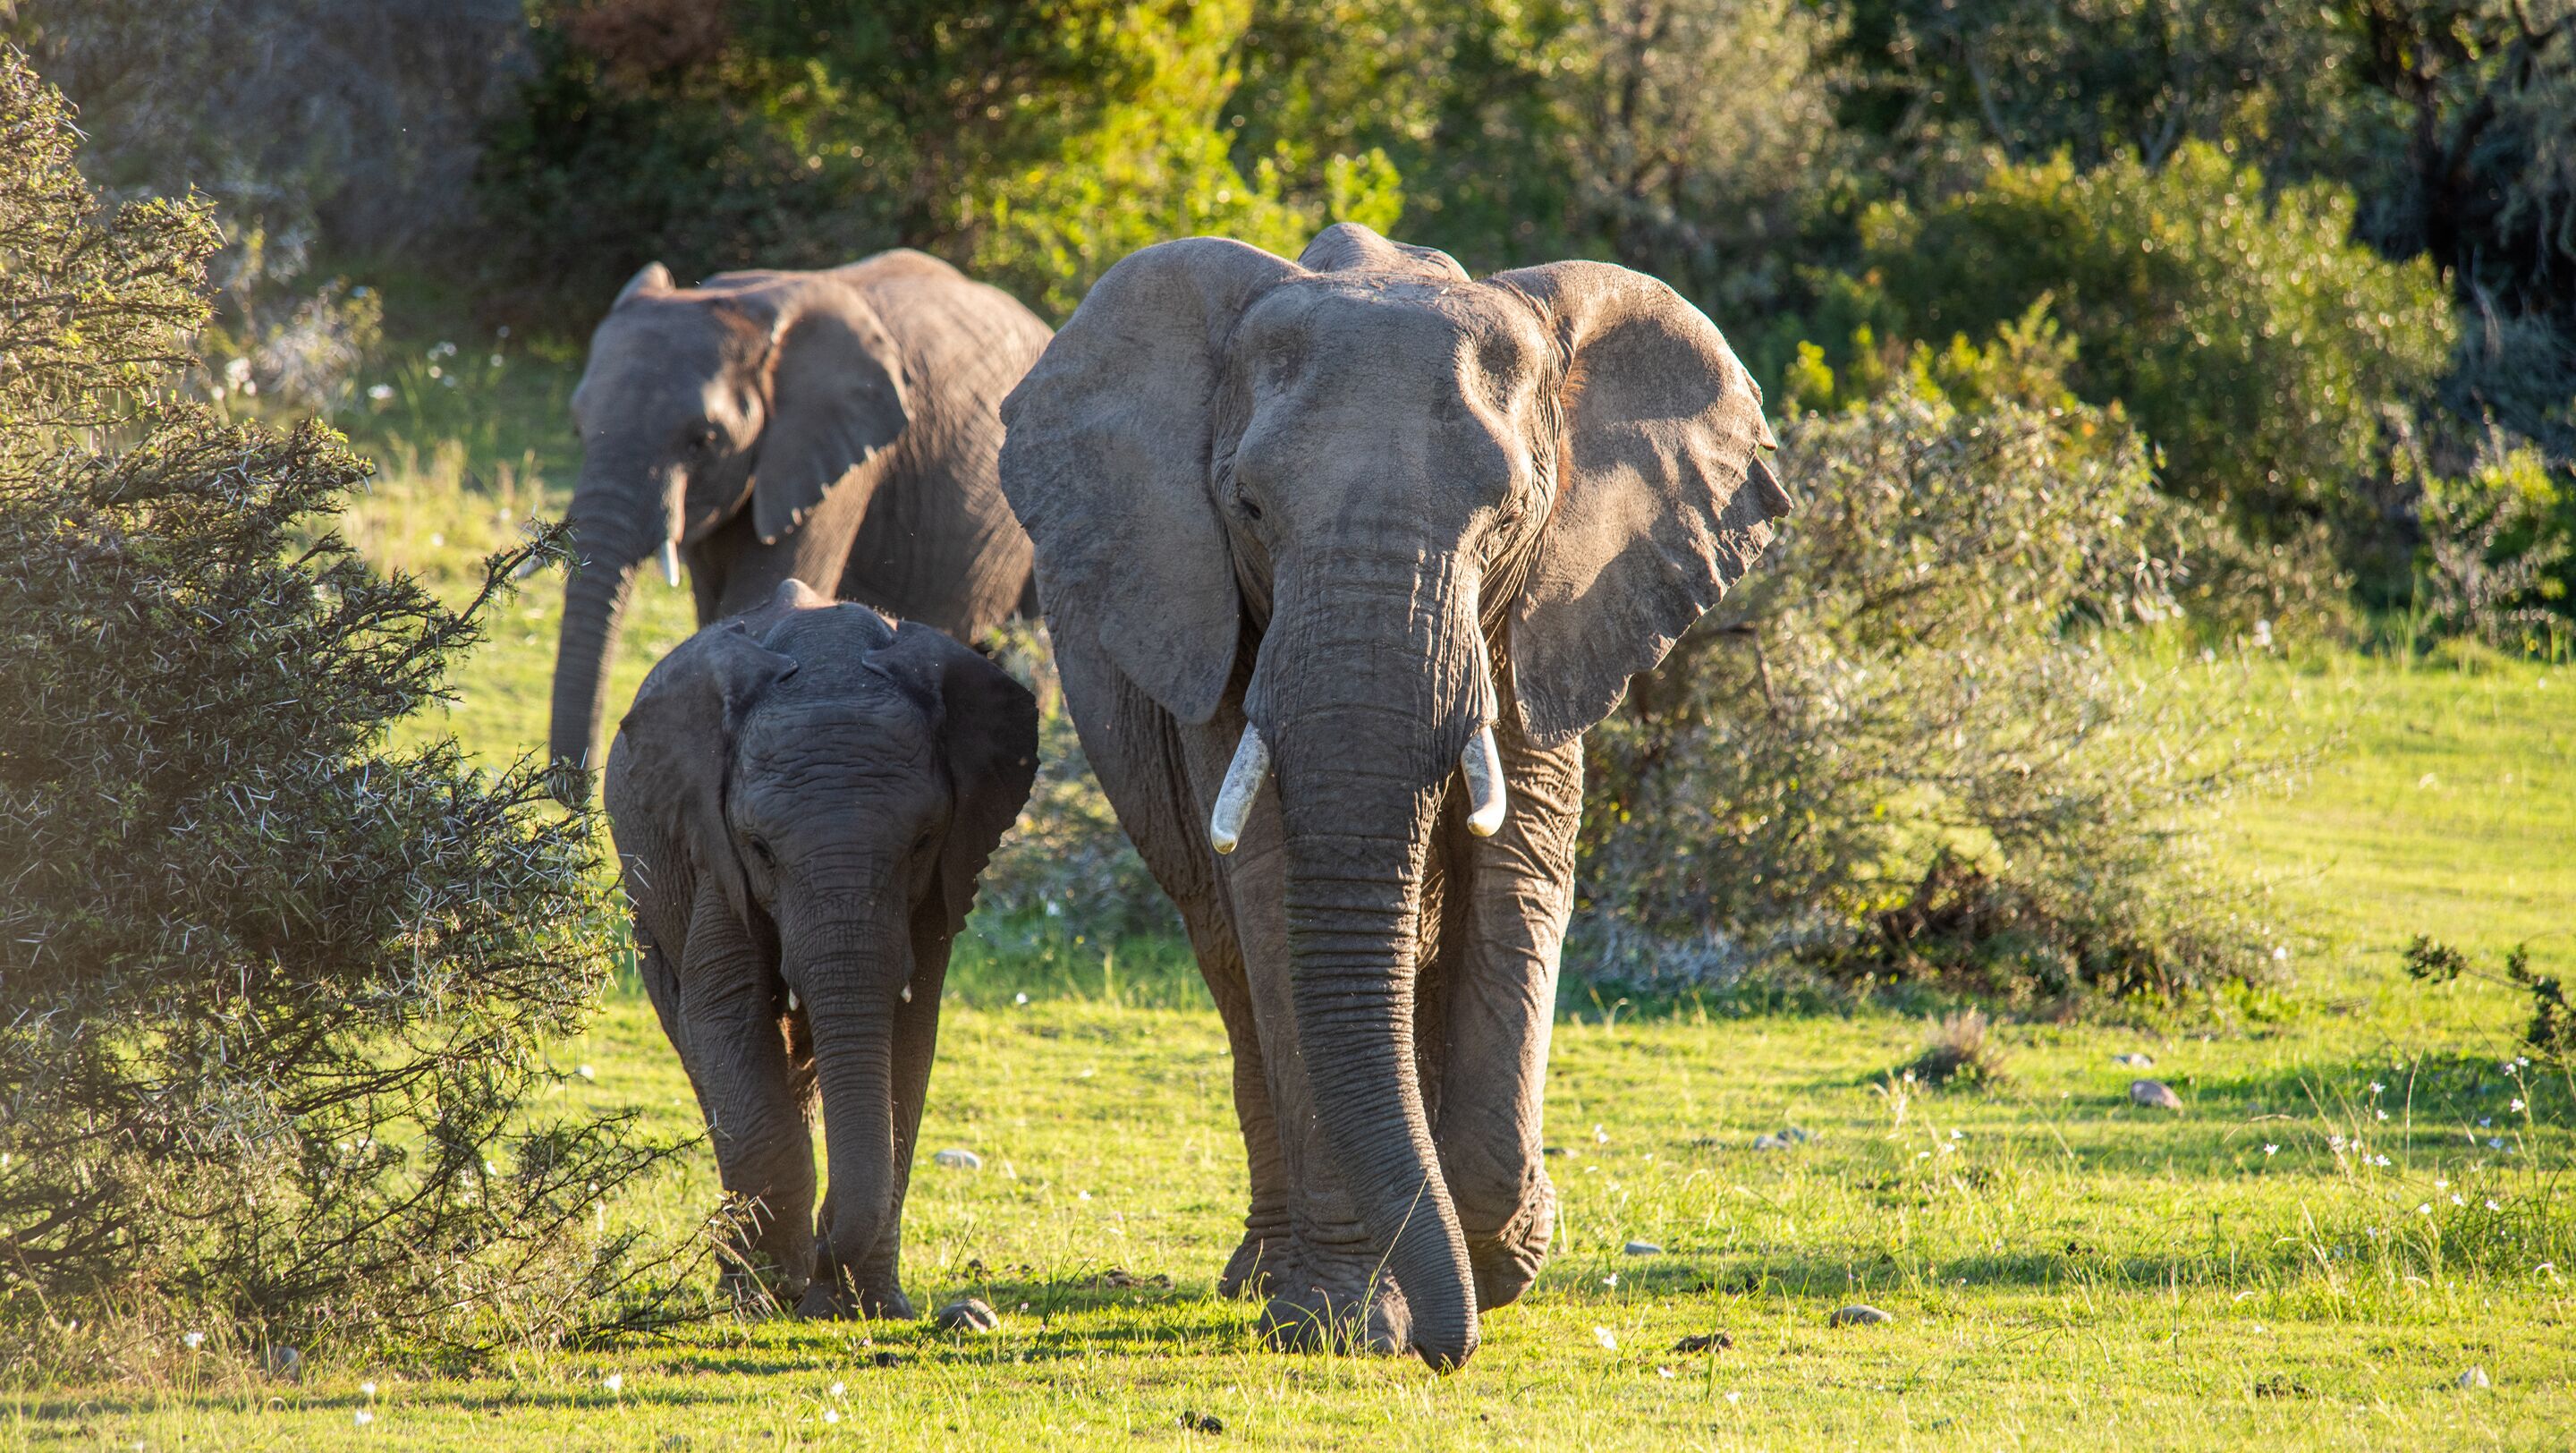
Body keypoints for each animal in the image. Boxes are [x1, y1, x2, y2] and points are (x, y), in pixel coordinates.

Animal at [603, 579, 1038, 1318]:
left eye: (922, 842)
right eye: (761, 848)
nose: (823, 1240)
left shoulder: (937, 887)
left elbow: (907, 1034)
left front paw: (866, 1306)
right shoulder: (714, 850)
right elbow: (725, 1012)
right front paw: (775, 1289)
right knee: (694, 1036)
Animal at [996, 222, 1790, 1370]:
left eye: (1509, 513)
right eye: (1247, 508)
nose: (1449, 1351)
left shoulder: (1553, 613)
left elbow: (1521, 876)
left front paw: (1498, 1262)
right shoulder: (1211, 616)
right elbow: (1277, 894)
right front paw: (1348, 1320)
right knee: (1230, 956)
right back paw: (1265, 1277)